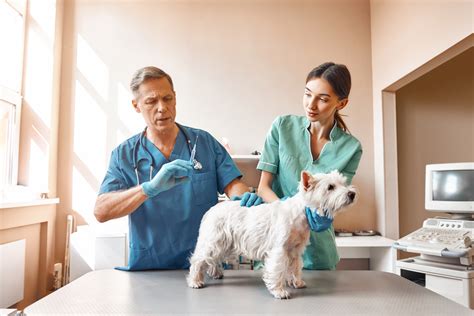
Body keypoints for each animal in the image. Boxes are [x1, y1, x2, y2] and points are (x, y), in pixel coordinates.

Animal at [187, 170, 358, 298]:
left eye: (343, 183)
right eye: (330, 187)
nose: (352, 194)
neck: (300, 214)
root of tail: (210, 210)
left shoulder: (295, 250)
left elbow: (295, 267)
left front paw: (297, 283)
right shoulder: (279, 249)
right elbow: (278, 270)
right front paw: (280, 291)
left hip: (224, 244)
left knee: (213, 260)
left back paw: (216, 273)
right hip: (213, 240)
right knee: (198, 259)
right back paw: (195, 281)